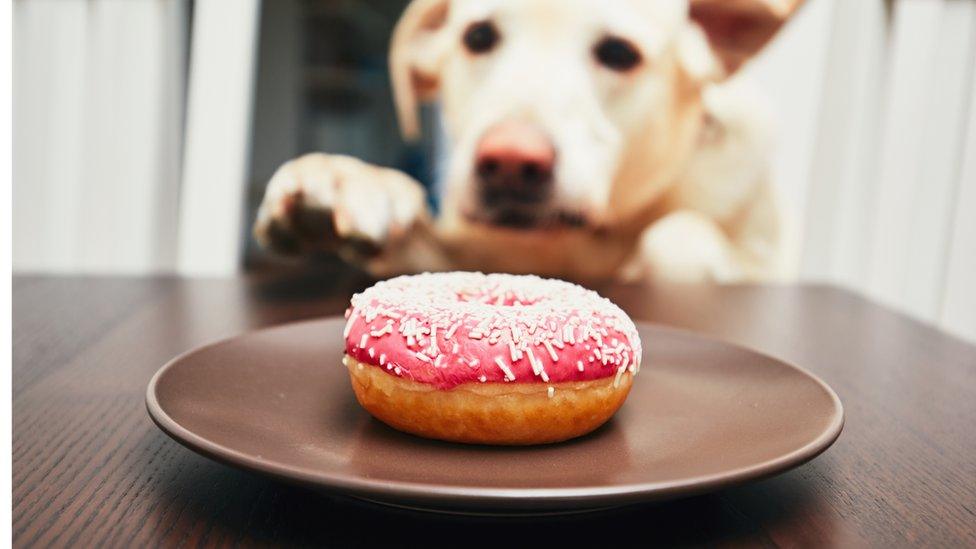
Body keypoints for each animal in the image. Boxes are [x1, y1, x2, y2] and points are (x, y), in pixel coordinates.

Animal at [250, 0, 800, 282]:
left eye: (619, 53)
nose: (510, 162)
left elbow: (683, 231)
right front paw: (347, 180)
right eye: (477, 37)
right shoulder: (476, 250)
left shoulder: (761, 259)